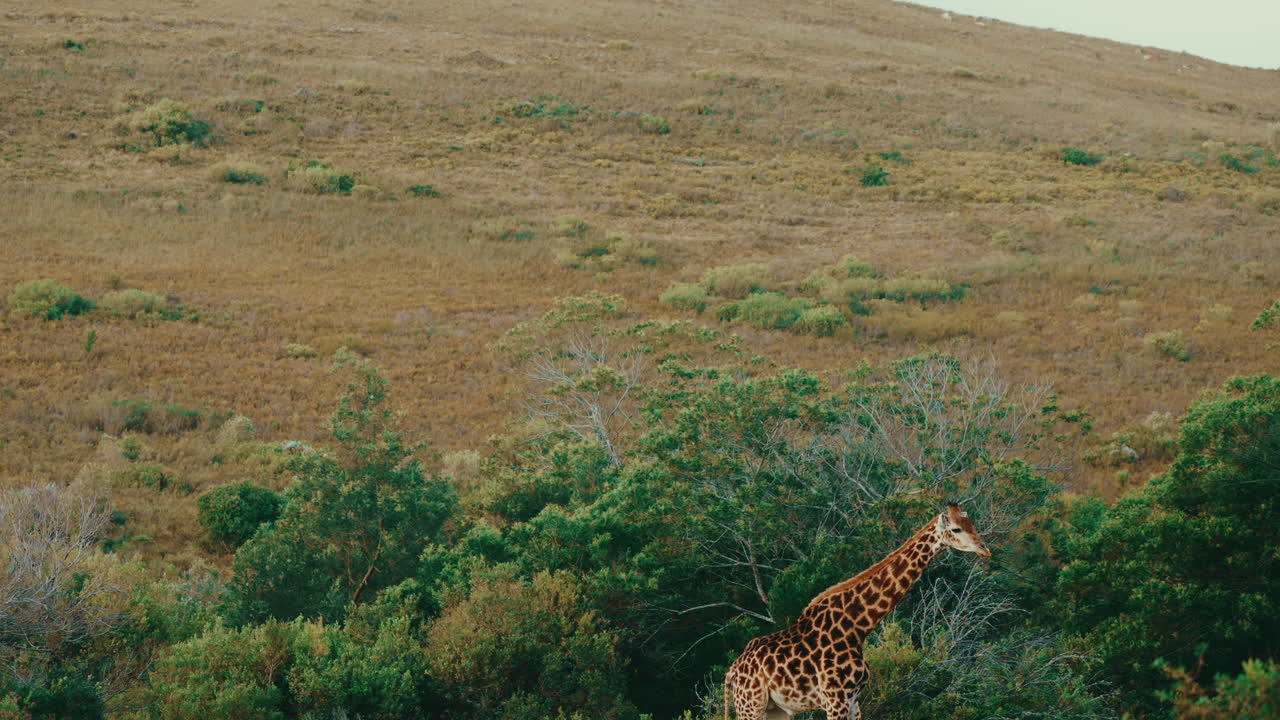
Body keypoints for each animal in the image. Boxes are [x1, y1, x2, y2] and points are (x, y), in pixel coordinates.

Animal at [723, 503, 991, 720]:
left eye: (972, 524)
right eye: (956, 529)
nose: (984, 549)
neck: (857, 626)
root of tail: (732, 671)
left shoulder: (853, 699)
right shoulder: (835, 697)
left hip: (775, 709)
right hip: (751, 704)